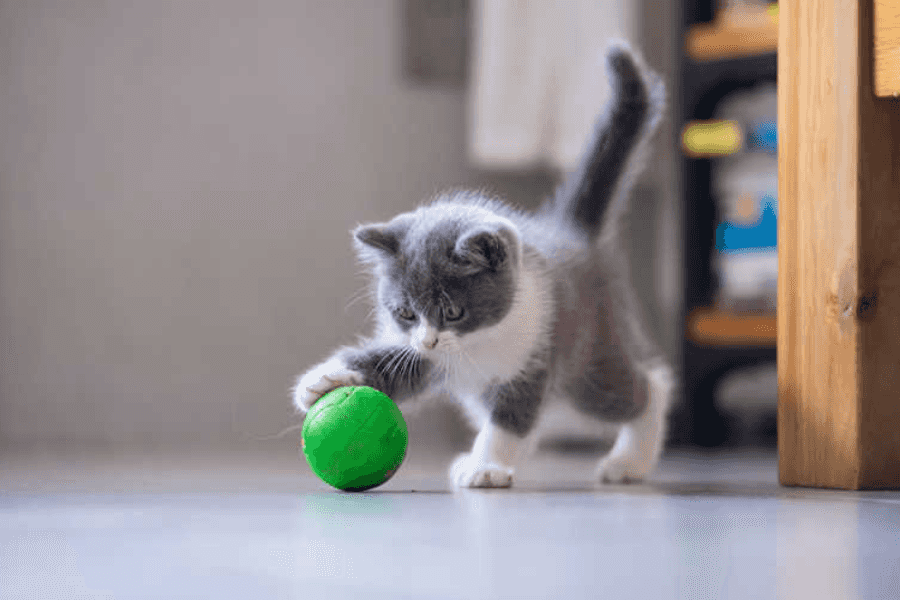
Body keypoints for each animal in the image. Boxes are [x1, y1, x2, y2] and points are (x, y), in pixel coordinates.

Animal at [294, 43, 676, 492]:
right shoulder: (423, 357)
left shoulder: (534, 353)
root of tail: (570, 232)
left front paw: (487, 465)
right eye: (404, 313)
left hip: (588, 356)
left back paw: (630, 459)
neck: (476, 343)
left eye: (453, 311)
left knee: (644, 387)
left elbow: (511, 416)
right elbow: (393, 362)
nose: (429, 341)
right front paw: (325, 379)